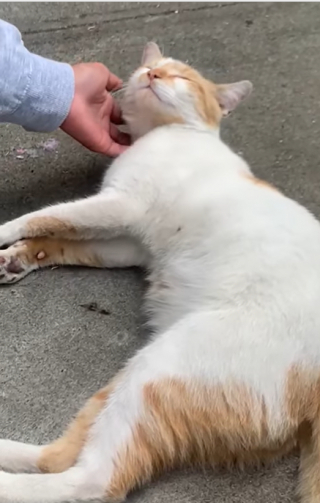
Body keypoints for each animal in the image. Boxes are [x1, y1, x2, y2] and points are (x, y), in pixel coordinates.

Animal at [0, 42, 318, 503]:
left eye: (181, 77)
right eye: (149, 69)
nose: (153, 76)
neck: (164, 134)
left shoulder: (120, 206)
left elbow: (45, 216)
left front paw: (6, 234)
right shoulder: (128, 241)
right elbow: (64, 236)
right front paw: (17, 258)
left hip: (161, 367)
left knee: (93, 481)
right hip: (133, 378)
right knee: (60, 456)